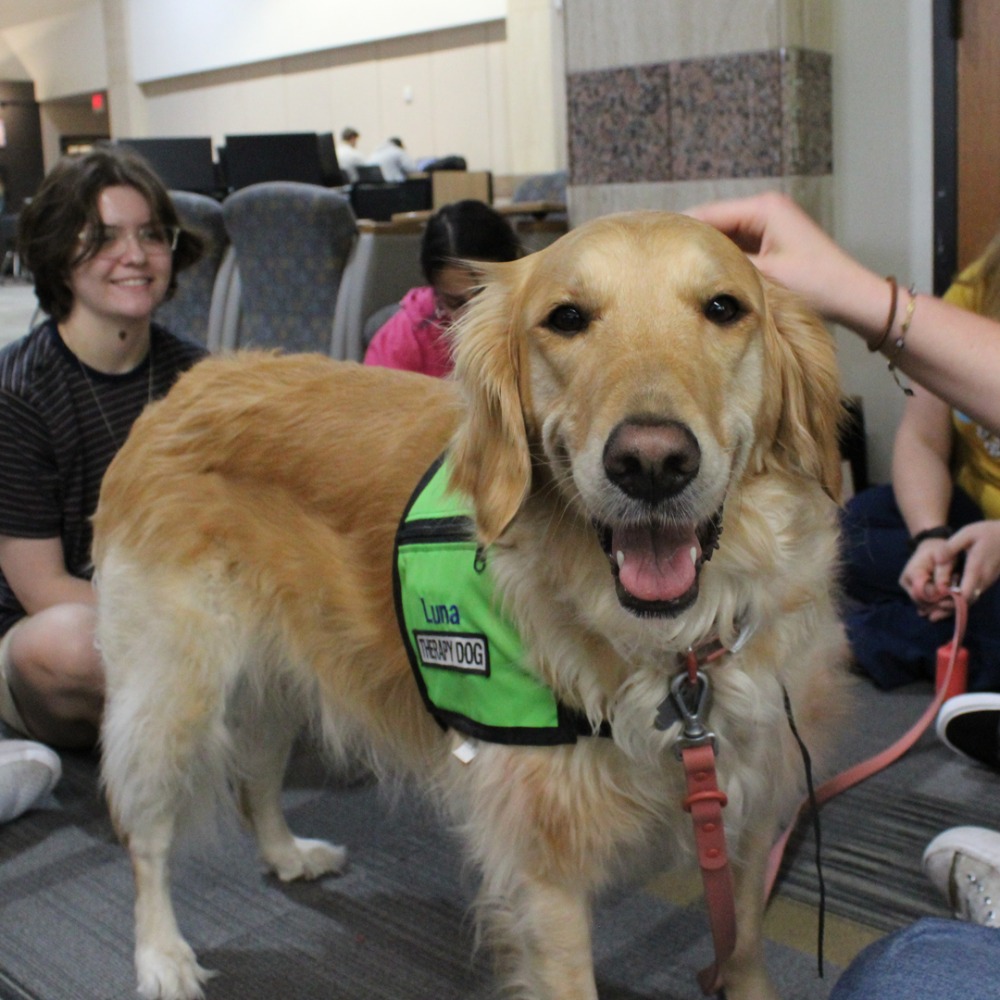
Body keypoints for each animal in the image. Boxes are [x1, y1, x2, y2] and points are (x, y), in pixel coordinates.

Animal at [94, 215, 848, 1000]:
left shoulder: (750, 819)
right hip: (170, 694)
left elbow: (745, 946)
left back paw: (286, 852)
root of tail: (187, 384)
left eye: (724, 308)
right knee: (144, 835)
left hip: (277, 681)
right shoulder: (545, 874)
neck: (674, 652)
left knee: (256, 777)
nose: (650, 463)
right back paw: (161, 954)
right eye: (567, 318)